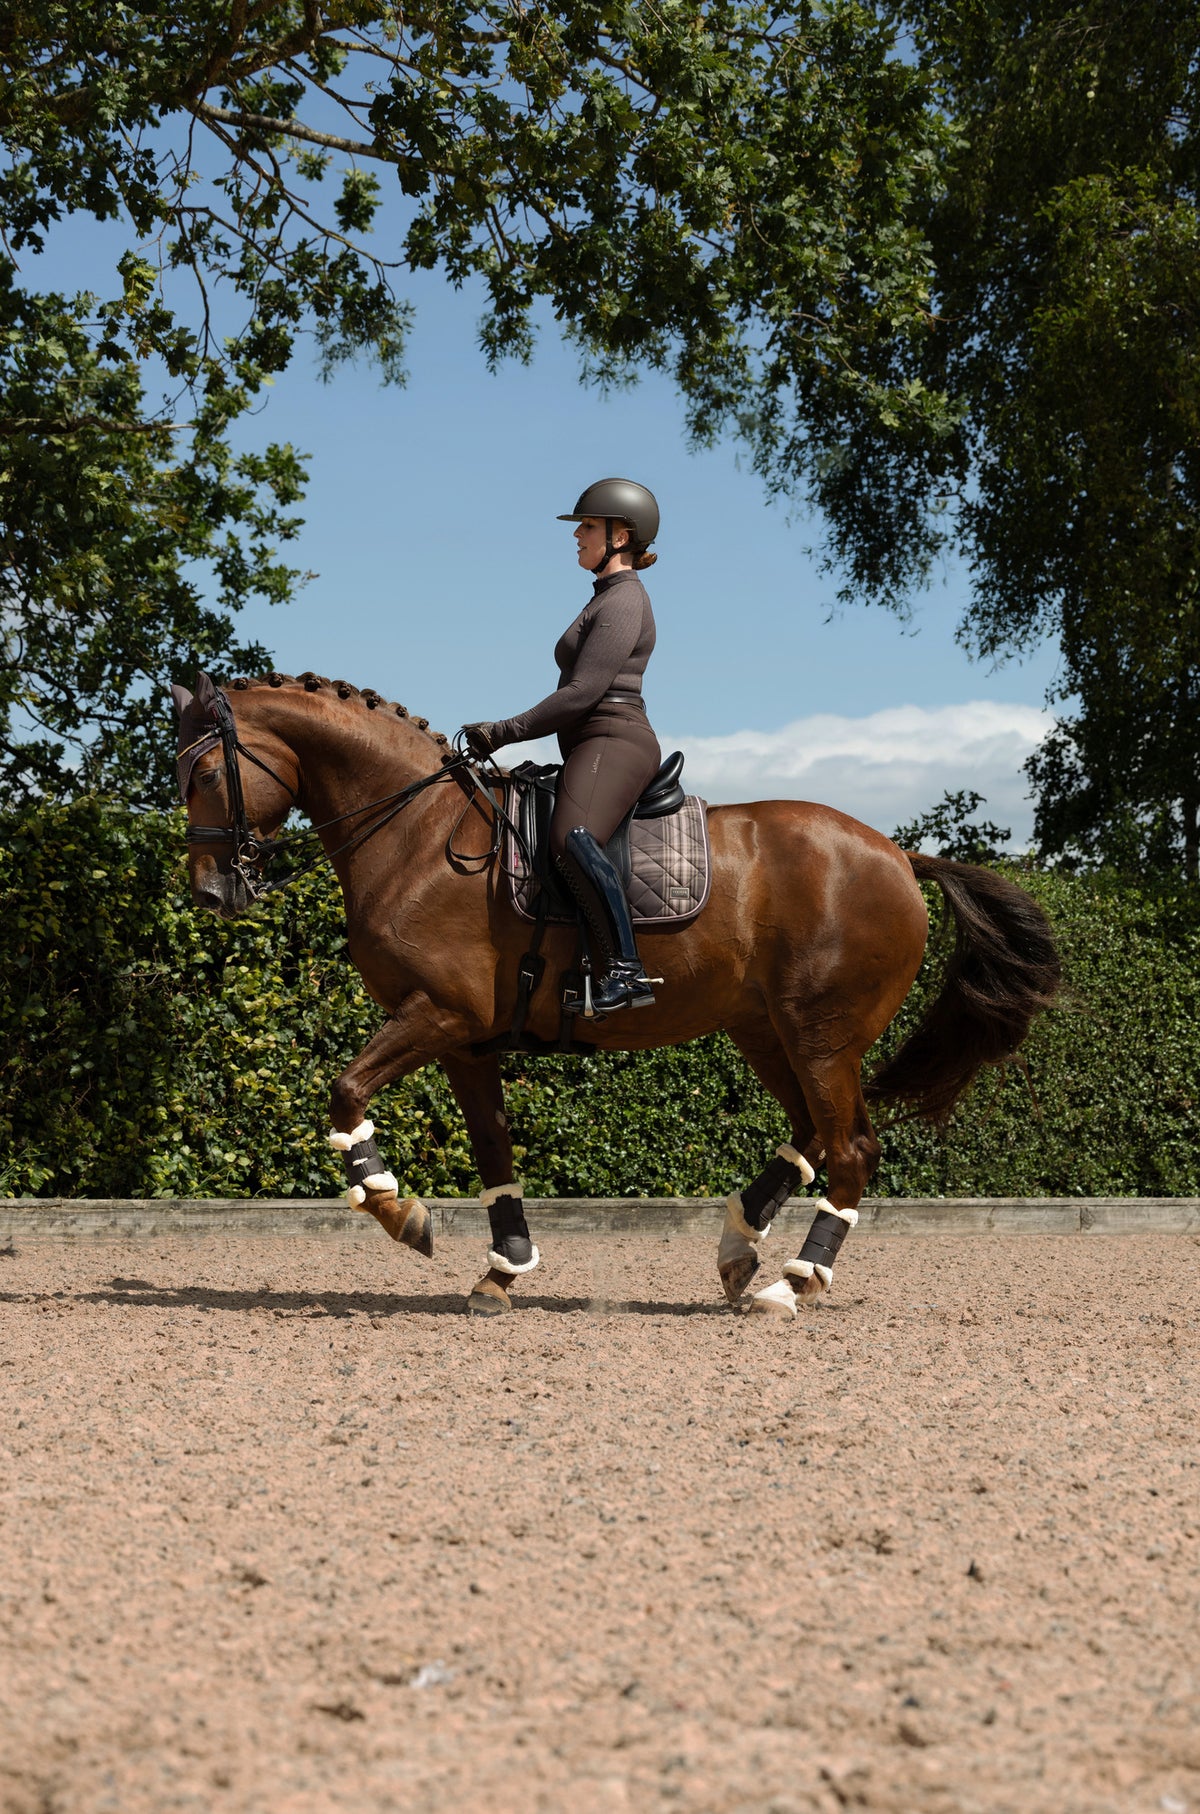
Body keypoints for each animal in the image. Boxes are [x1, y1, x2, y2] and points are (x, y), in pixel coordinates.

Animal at [173, 668, 1061, 1317]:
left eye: (208, 771)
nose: (213, 892)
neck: (417, 835)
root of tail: (901, 856)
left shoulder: (438, 1014)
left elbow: (345, 1090)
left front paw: (402, 1213)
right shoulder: (465, 1039)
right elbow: (493, 1148)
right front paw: (504, 1269)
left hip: (822, 1035)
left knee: (849, 1149)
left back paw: (791, 1283)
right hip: (767, 1031)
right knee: (812, 1133)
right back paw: (738, 1250)